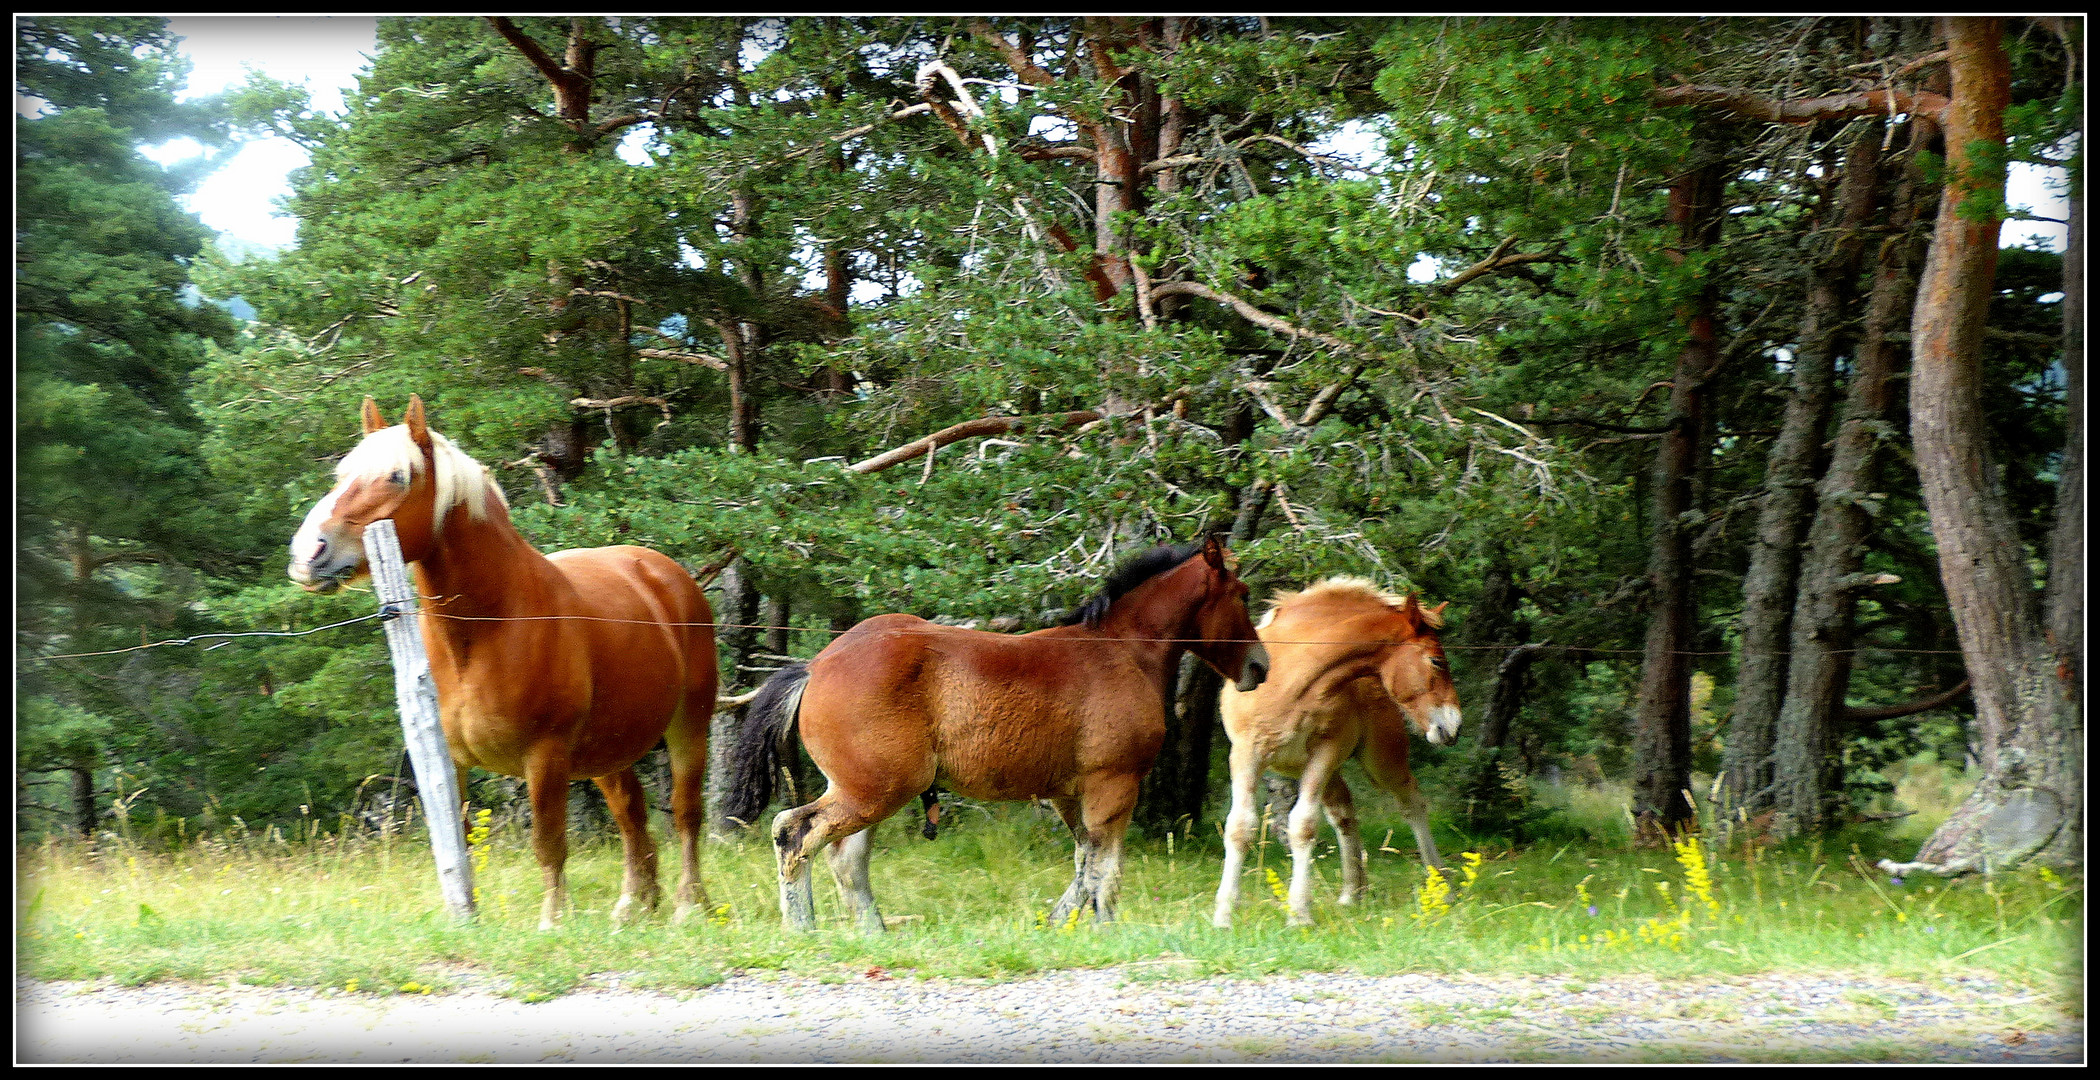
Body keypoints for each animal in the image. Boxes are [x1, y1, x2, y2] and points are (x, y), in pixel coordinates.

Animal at [287, 395, 718, 924]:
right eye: (342, 473)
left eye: (397, 477)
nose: (308, 554)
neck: (489, 628)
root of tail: (663, 571)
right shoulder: (453, 761)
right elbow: (459, 844)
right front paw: (466, 917)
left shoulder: (545, 757)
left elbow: (549, 844)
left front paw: (553, 920)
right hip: (606, 747)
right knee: (630, 811)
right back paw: (633, 904)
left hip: (689, 724)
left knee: (685, 811)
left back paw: (687, 903)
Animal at [730, 533, 1268, 928]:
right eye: (1241, 595)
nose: (1260, 667)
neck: (1122, 651)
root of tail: (816, 666)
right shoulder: (1114, 783)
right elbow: (1106, 869)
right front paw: (1105, 930)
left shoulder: (1068, 792)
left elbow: (1085, 863)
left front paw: (1056, 924)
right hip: (876, 789)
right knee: (794, 833)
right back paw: (803, 927)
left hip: (867, 790)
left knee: (846, 859)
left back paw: (872, 934)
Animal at [1218, 575, 1461, 920]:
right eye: (1437, 660)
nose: (1453, 725)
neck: (1290, 677)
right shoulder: (1245, 754)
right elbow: (1240, 827)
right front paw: (1224, 914)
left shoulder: (1325, 752)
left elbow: (1303, 826)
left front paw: (1299, 913)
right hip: (1316, 769)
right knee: (1344, 814)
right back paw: (1352, 893)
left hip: (1380, 760)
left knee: (1412, 804)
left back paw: (1443, 887)